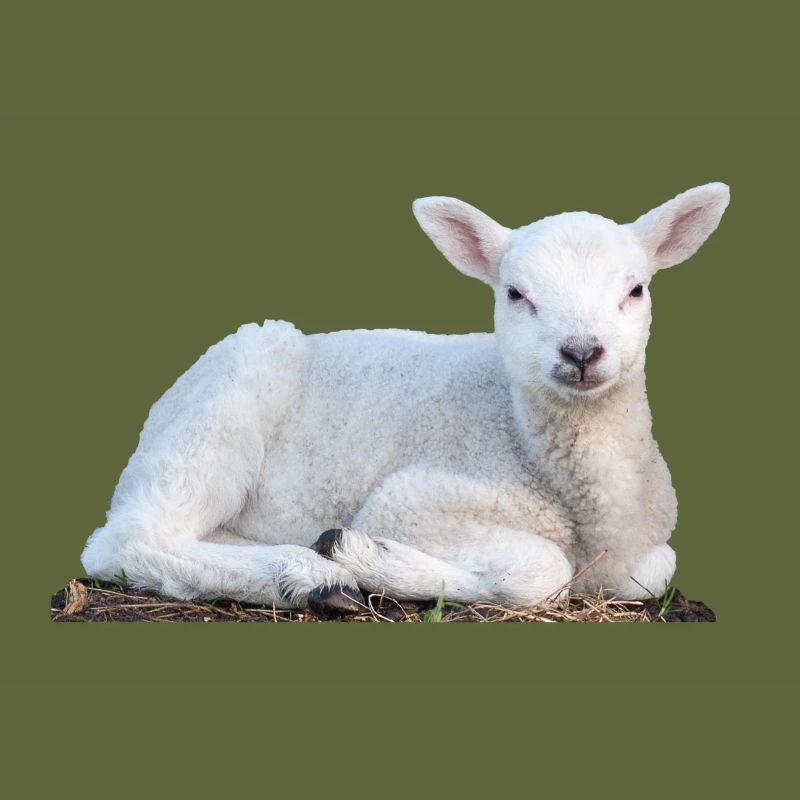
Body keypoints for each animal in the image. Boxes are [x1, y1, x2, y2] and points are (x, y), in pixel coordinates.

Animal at [80, 183, 730, 614]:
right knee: (127, 538)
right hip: (229, 395)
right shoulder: (416, 499)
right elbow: (544, 571)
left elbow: (655, 572)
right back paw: (309, 576)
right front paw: (365, 557)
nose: (581, 351)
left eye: (636, 289)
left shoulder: (644, 551)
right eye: (515, 294)